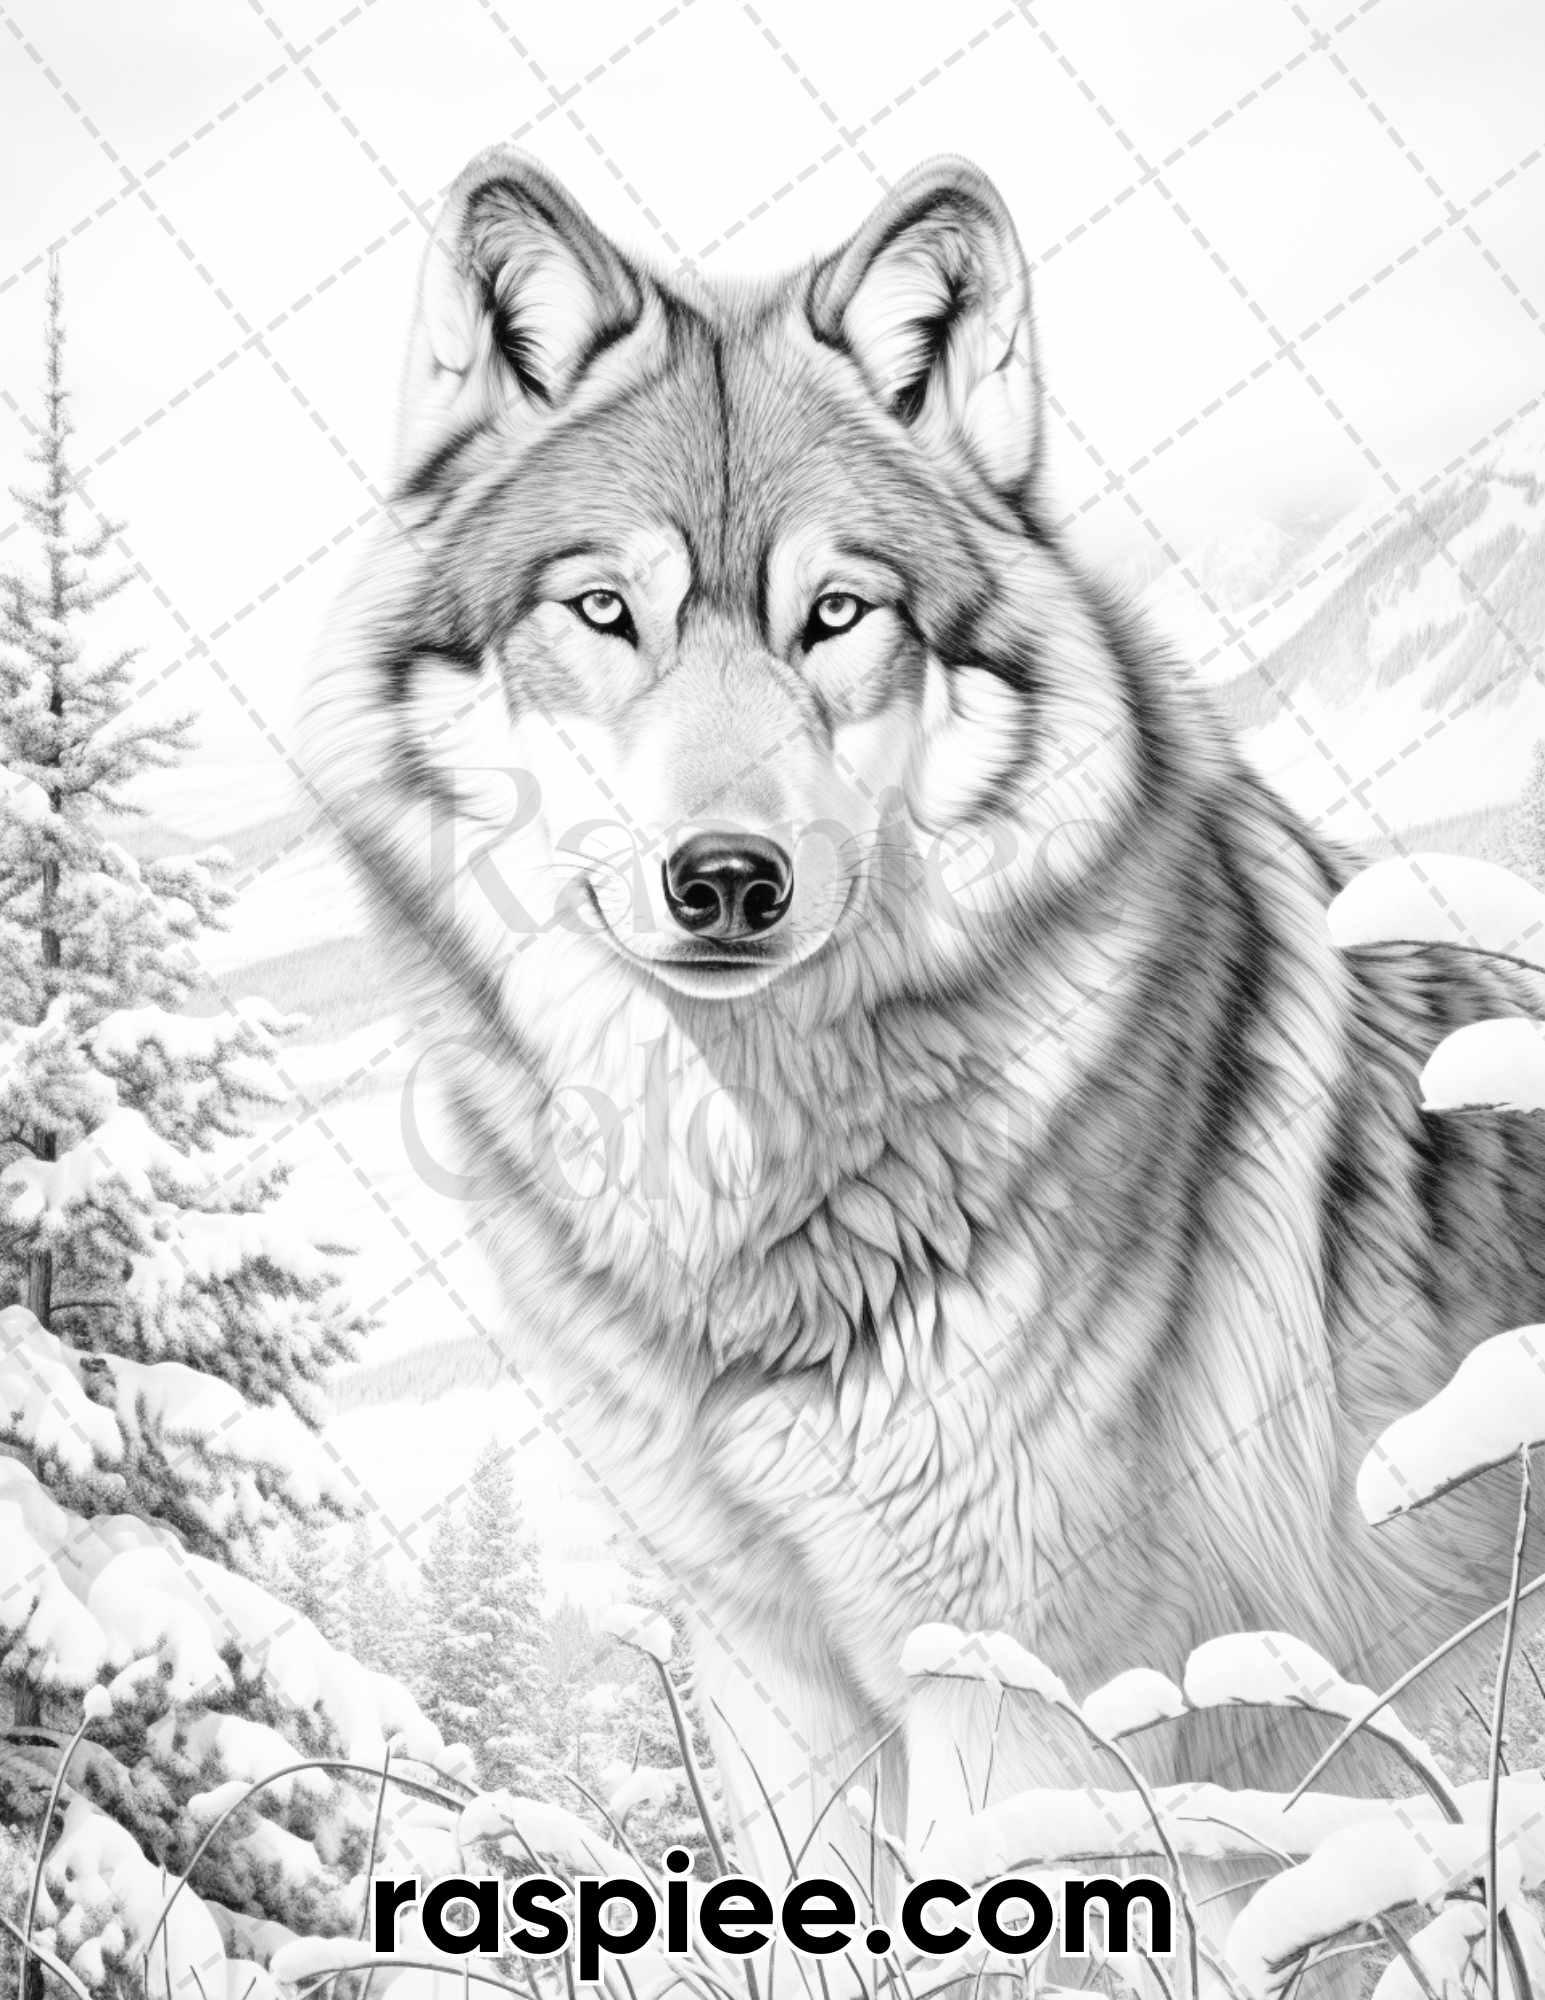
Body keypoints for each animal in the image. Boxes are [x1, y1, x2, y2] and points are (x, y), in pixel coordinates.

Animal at [302, 147, 1545, 1956]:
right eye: (603, 610)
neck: (754, 1204)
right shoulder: (776, 1687)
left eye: (838, 614)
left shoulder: (1018, 1695)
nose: (727, 879)